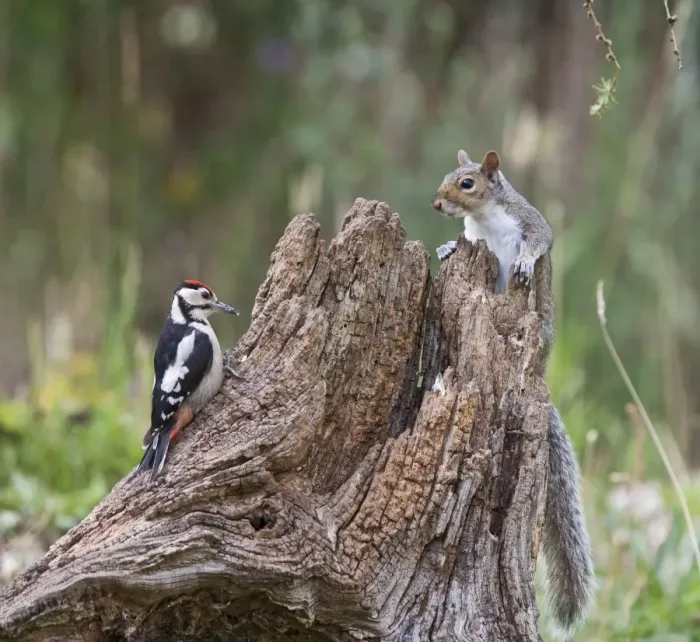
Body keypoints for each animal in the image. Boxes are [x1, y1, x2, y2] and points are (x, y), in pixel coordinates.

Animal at [432, 149, 595, 639]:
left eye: (467, 183)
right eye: (447, 176)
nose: (437, 204)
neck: (484, 219)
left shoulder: (531, 221)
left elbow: (540, 240)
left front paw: (523, 260)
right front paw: (444, 249)